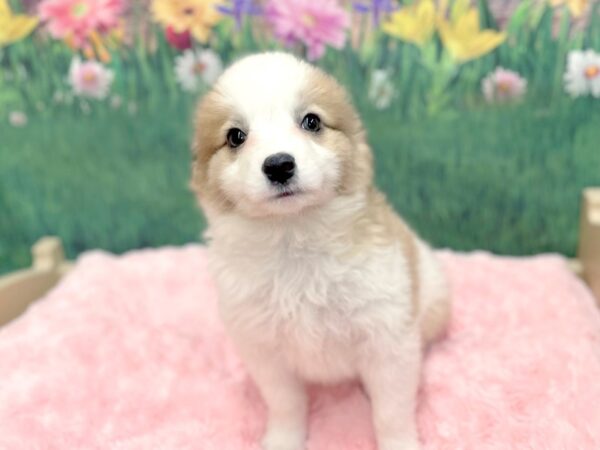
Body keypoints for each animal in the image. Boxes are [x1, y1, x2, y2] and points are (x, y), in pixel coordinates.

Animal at [192, 52, 450, 450]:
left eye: (311, 121)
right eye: (236, 136)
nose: (279, 165)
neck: (295, 238)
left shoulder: (388, 339)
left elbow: (391, 412)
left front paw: (399, 442)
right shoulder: (264, 350)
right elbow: (286, 404)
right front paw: (283, 440)